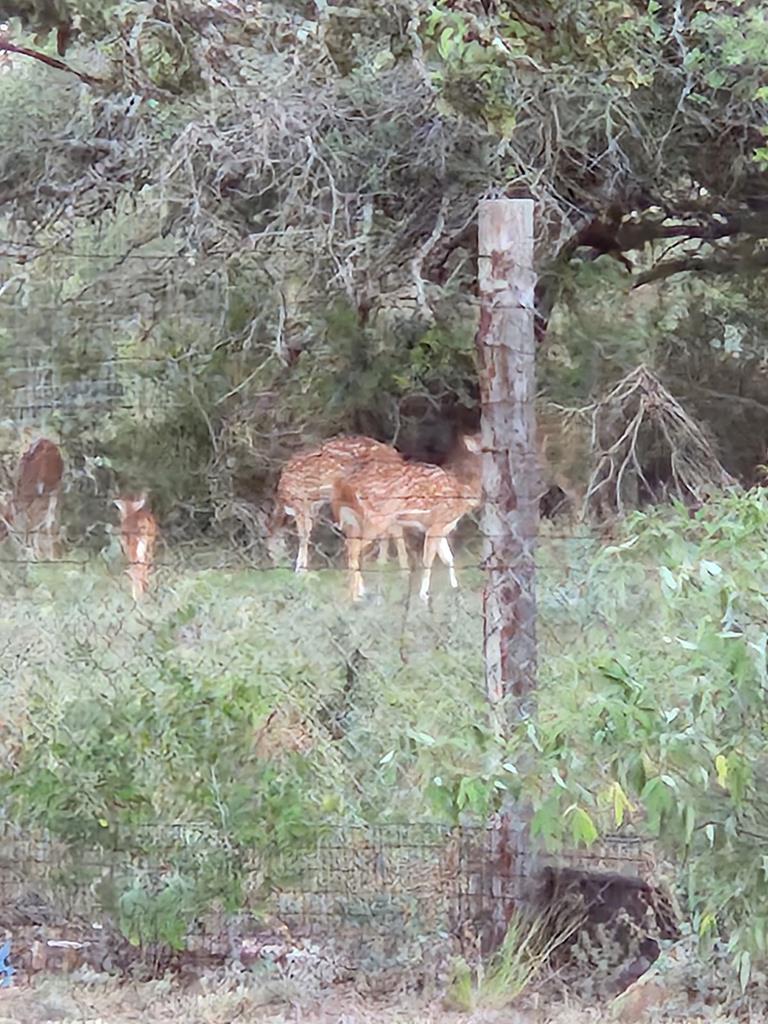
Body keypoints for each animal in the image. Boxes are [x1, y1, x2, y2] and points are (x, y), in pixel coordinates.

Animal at [274, 434, 409, 573]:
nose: (277, 564)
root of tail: (396, 455)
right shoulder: (311, 505)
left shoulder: (301, 501)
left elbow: (304, 534)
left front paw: (300, 571)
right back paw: (385, 565)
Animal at [331, 430, 481, 598]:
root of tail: (342, 485)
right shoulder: (436, 523)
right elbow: (428, 560)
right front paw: (423, 595)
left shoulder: (441, 527)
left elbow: (448, 558)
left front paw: (455, 588)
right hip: (377, 518)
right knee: (353, 546)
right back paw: (356, 595)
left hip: (354, 519)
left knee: (351, 546)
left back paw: (358, 591)